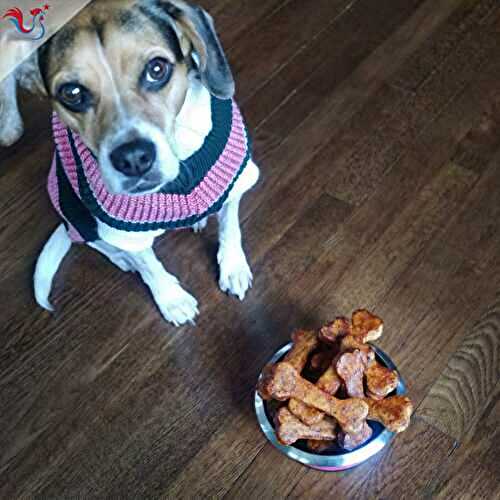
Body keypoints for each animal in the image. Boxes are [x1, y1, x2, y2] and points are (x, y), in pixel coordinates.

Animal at [0, 0, 262, 326]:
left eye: (157, 69)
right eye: (72, 93)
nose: (134, 159)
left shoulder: (236, 183)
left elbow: (230, 229)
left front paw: (233, 267)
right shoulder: (123, 231)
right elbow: (150, 267)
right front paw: (172, 300)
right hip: (73, 210)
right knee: (93, 241)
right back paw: (122, 258)